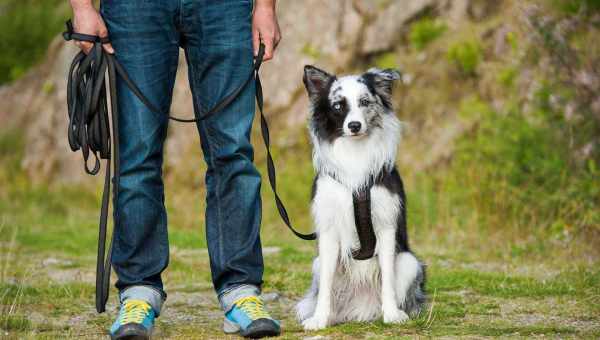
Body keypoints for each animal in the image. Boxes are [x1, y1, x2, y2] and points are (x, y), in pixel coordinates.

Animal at [296, 65, 426, 330]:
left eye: (365, 102)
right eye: (338, 106)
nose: (354, 125)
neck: (354, 153)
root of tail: (361, 307)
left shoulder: (386, 226)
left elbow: (387, 278)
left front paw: (392, 314)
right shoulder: (329, 230)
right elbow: (326, 286)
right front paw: (319, 319)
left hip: (410, 262)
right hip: (317, 264)